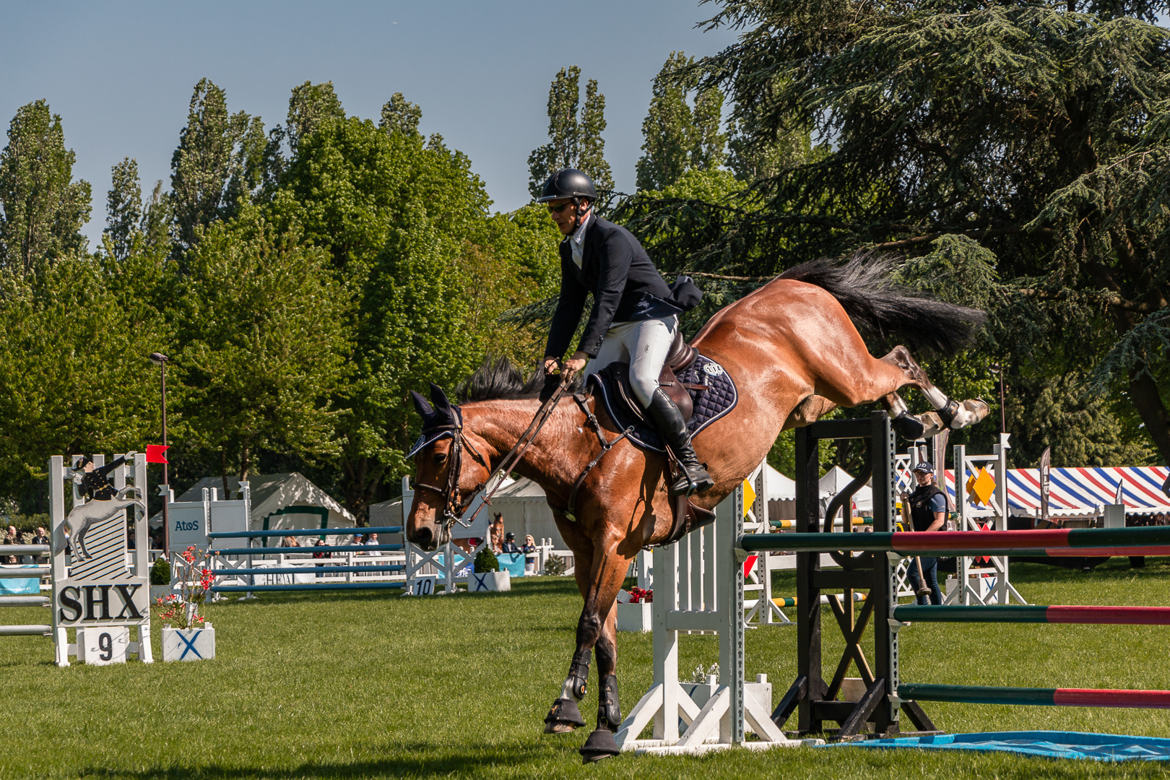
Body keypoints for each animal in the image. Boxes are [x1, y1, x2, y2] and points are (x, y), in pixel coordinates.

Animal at [402, 254, 987, 757]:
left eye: (438, 455)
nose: (421, 534)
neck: (577, 445)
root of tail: (792, 286)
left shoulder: (616, 545)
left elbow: (589, 625)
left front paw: (565, 708)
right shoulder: (590, 553)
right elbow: (606, 634)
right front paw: (607, 726)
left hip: (844, 371)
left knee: (899, 360)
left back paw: (957, 411)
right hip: (810, 401)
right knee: (874, 388)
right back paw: (910, 419)